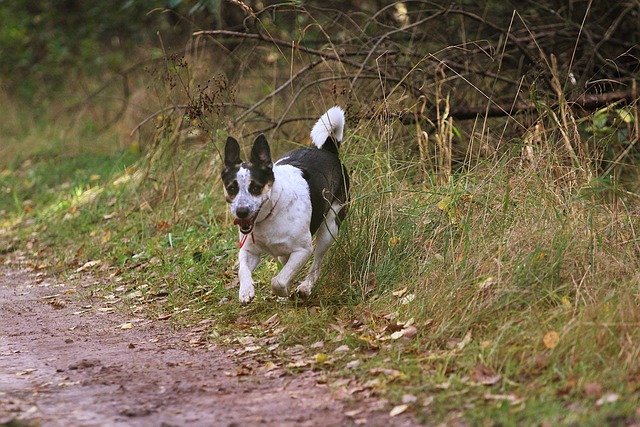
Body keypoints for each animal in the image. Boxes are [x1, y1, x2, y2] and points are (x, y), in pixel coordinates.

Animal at [220, 106, 350, 304]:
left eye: (256, 187)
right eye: (232, 188)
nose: (242, 211)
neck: (268, 217)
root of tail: (328, 150)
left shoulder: (303, 250)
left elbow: (278, 281)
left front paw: (284, 291)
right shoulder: (249, 250)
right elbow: (243, 269)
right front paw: (245, 291)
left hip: (330, 227)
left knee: (317, 262)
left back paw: (305, 286)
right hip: (284, 252)